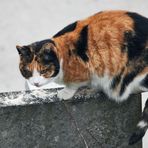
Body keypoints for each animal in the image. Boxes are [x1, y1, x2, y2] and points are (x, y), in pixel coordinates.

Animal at [16, 10, 148, 145]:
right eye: (27, 71)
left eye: (43, 71)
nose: (35, 83)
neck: (63, 55)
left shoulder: (88, 66)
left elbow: (73, 83)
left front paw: (65, 93)